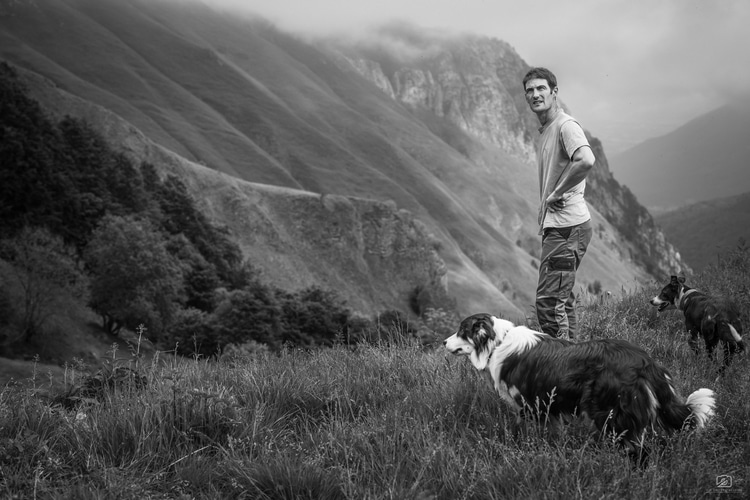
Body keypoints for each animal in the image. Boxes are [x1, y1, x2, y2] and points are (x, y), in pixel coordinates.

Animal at [446, 312, 716, 460]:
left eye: (460, 330)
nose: (443, 342)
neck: (498, 343)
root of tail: (646, 361)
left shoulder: (530, 407)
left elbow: (525, 435)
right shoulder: (549, 409)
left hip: (611, 415)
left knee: (639, 451)